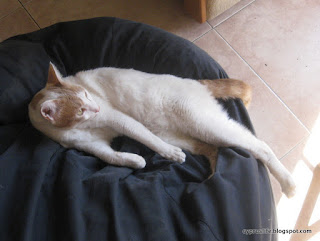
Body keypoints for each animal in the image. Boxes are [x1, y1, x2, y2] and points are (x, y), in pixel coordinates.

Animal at [28, 63, 296, 198]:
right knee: (212, 149)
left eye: (86, 95)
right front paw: (136, 161)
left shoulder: (121, 120)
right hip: (182, 134)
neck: (81, 126)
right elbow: (112, 156)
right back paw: (210, 178)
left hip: (206, 125)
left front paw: (167, 154)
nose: (95, 107)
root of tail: (194, 81)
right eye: (80, 109)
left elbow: (145, 139)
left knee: (258, 145)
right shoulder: (90, 146)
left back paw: (289, 184)